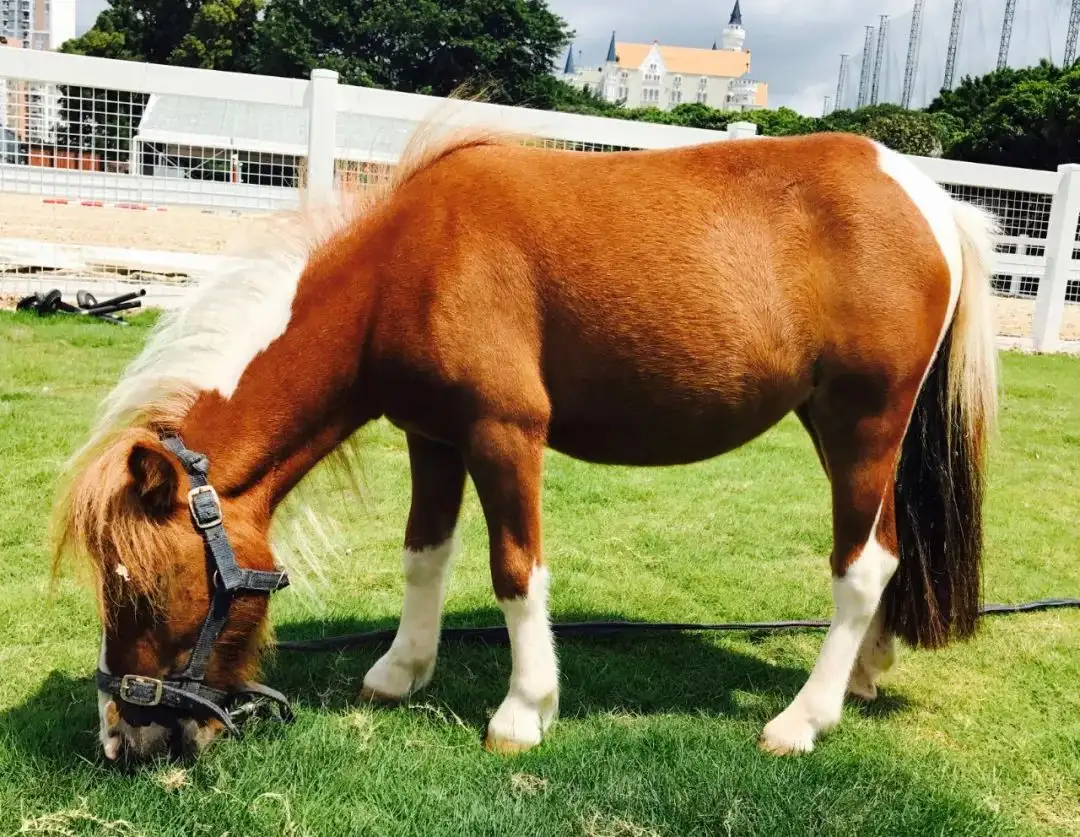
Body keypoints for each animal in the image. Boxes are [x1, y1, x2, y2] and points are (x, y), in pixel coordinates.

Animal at [48, 122, 993, 760]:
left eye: (142, 587)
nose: (120, 739)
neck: (405, 267)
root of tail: (932, 200)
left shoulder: (505, 433)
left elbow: (515, 570)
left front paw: (523, 709)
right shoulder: (433, 436)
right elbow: (424, 554)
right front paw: (401, 670)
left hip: (863, 422)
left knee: (860, 567)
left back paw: (803, 719)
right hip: (846, 430)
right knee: (889, 549)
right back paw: (865, 674)